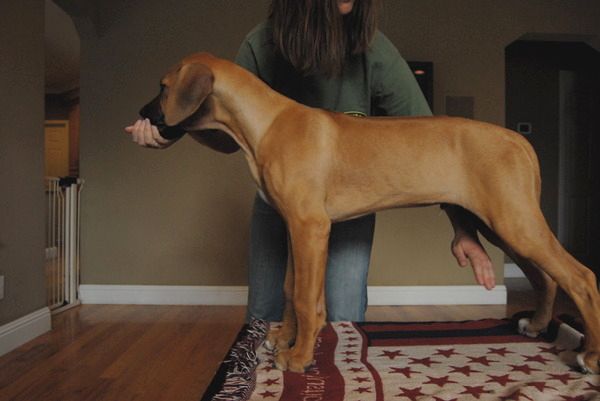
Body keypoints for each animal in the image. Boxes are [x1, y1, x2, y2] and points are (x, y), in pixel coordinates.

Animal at [136, 52, 600, 374]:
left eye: (163, 86)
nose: (142, 115)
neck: (266, 123)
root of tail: (517, 140)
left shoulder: (310, 226)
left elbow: (305, 297)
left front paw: (299, 358)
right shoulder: (295, 228)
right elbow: (291, 289)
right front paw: (286, 340)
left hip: (514, 221)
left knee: (580, 277)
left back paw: (589, 356)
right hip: (506, 224)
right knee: (547, 277)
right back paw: (537, 325)